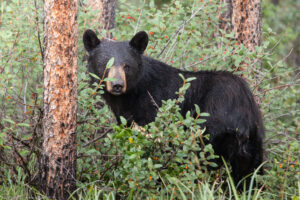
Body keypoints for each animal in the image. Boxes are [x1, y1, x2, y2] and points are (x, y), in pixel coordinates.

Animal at [83, 29, 264, 186]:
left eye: (127, 66)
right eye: (105, 64)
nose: (117, 85)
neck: (132, 95)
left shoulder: (153, 111)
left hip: (213, 129)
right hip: (254, 138)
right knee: (251, 172)